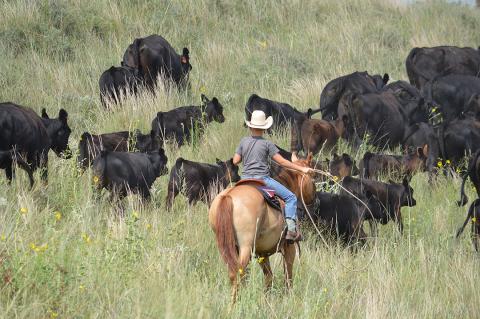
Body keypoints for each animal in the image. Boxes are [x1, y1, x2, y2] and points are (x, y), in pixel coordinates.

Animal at [207, 155, 316, 304]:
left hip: (227, 246)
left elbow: (269, 277)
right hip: (246, 247)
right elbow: (288, 277)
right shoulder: (289, 248)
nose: (315, 199)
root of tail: (228, 196)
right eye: (313, 178)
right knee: (239, 272)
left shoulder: (262, 253)